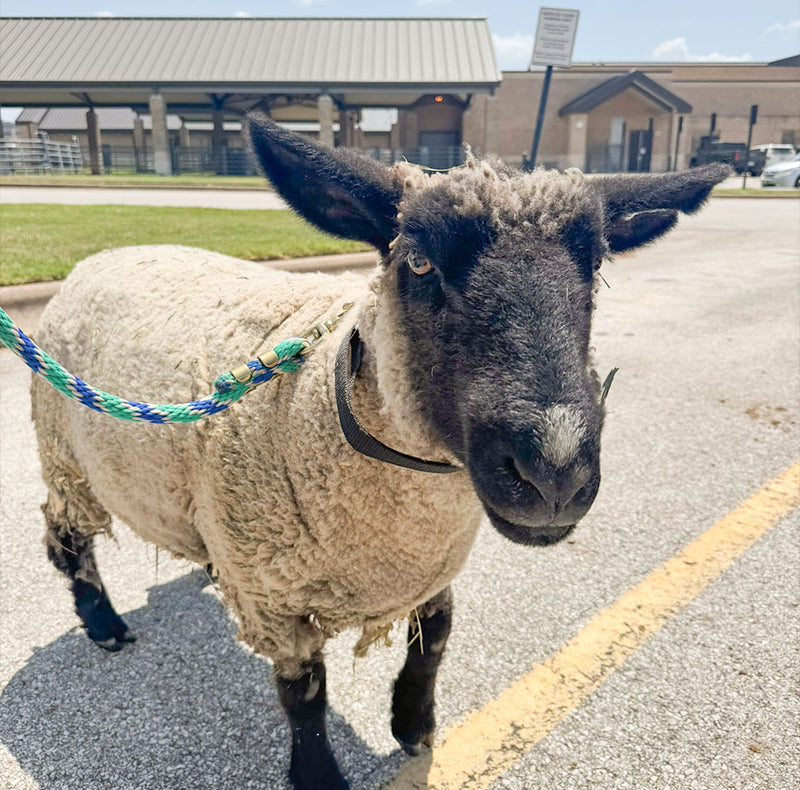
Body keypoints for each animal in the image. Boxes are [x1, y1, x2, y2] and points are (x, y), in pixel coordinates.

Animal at [30, 114, 729, 789]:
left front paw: (414, 725)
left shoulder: (432, 566)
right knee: (66, 538)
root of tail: (107, 253)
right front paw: (318, 775)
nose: (554, 474)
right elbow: (304, 694)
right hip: (64, 455)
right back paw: (103, 624)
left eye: (595, 269)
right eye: (416, 263)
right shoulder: (277, 600)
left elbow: (436, 638)